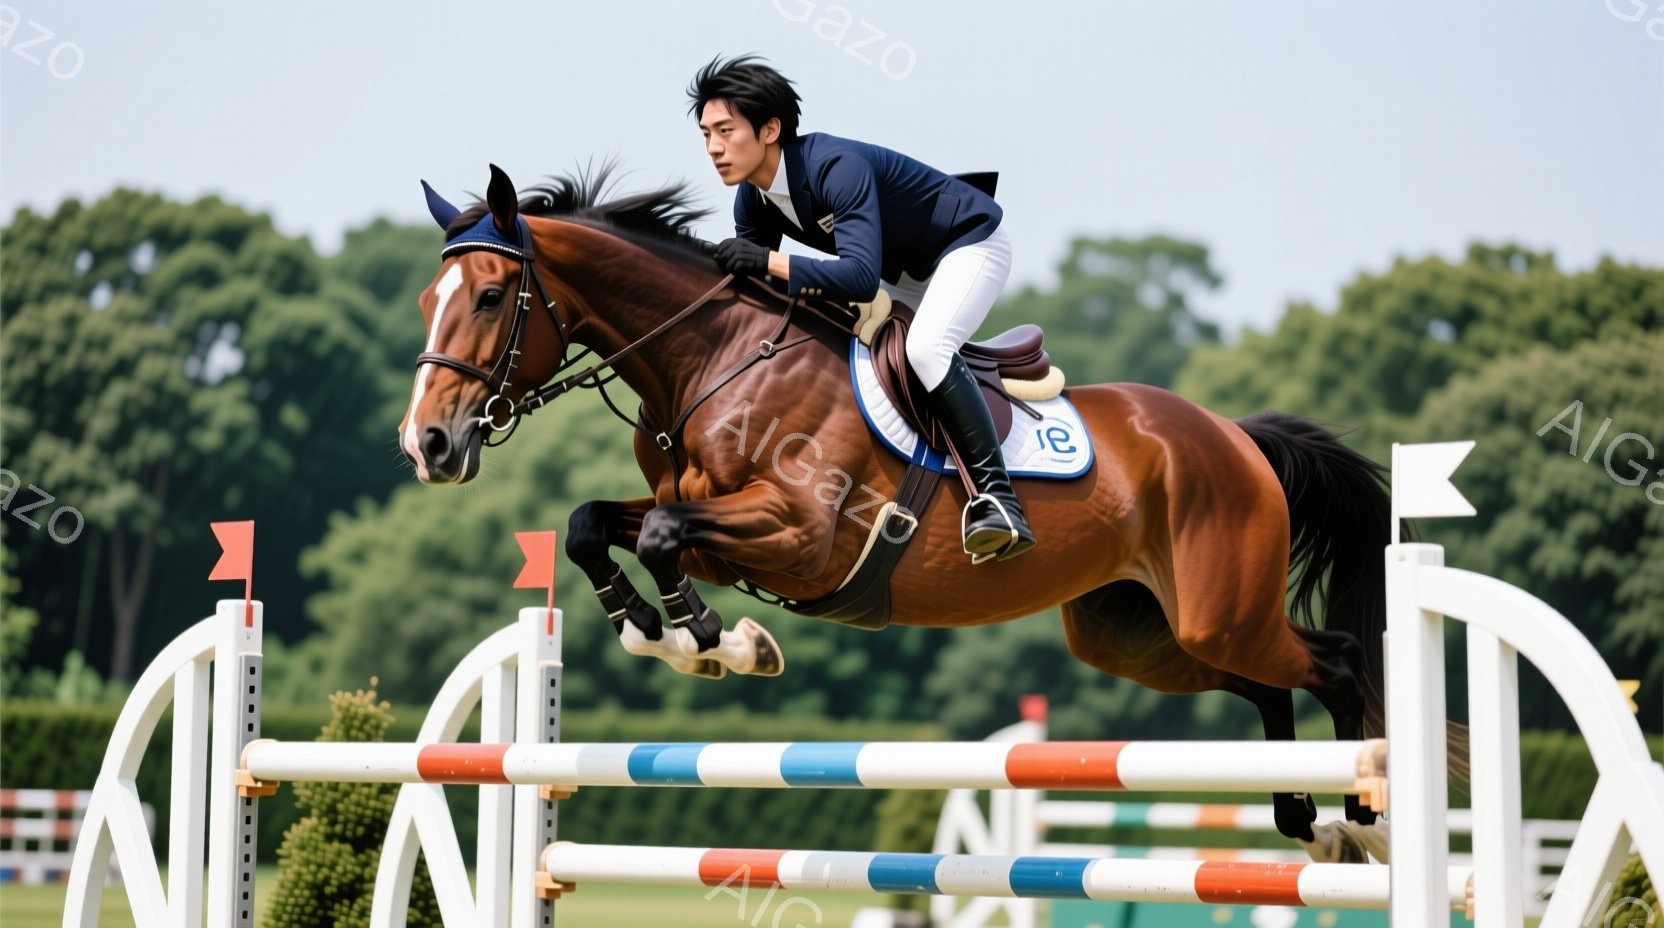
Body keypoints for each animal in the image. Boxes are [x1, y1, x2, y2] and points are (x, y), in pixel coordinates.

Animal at [399, 164, 1423, 858]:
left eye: (490, 296)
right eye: (425, 300)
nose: (428, 446)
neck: (711, 359)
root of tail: (1233, 436)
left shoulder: (799, 536)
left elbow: (658, 538)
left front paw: (716, 640)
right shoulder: (708, 523)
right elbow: (591, 526)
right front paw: (655, 630)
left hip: (1217, 606)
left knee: (1334, 661)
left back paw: (1365, 819)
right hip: (1140, 634)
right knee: (1266, 679)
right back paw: (1303, 815)